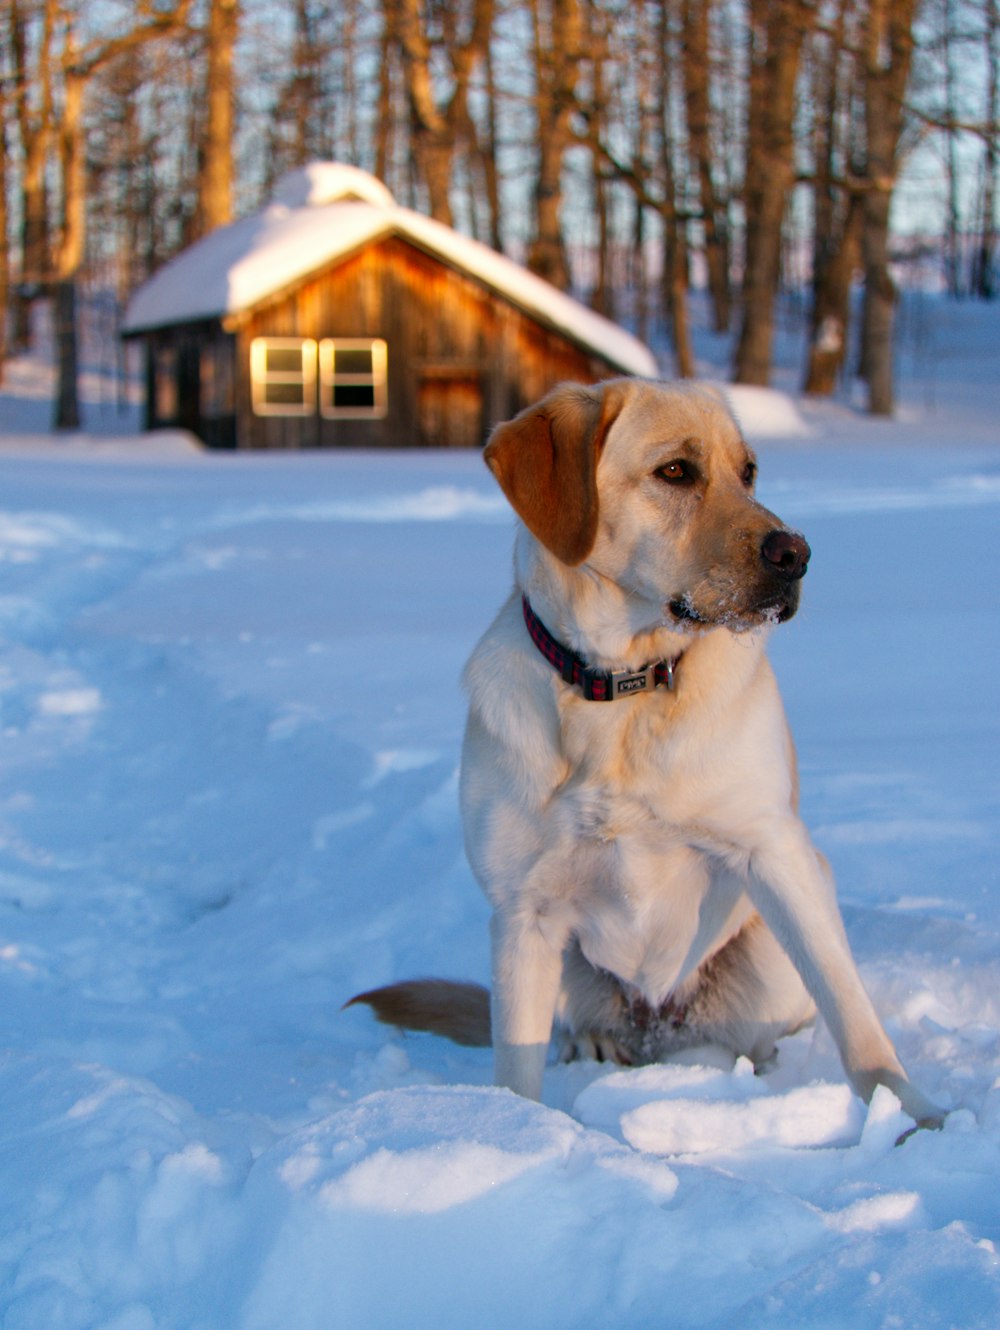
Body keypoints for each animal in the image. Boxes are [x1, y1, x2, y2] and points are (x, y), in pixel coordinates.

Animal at [353, 380, 946, 1127]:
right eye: (675, 472)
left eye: (749, 472)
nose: (797, 554)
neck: (619, 689)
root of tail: (657, 1027)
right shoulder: (522, 910)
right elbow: (516, 1059)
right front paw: (520, 1132)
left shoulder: (772, 851)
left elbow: (851, 1010)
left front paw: (910, 1115)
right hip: (564, 968)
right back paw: (598, 1044)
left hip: (779, 941)